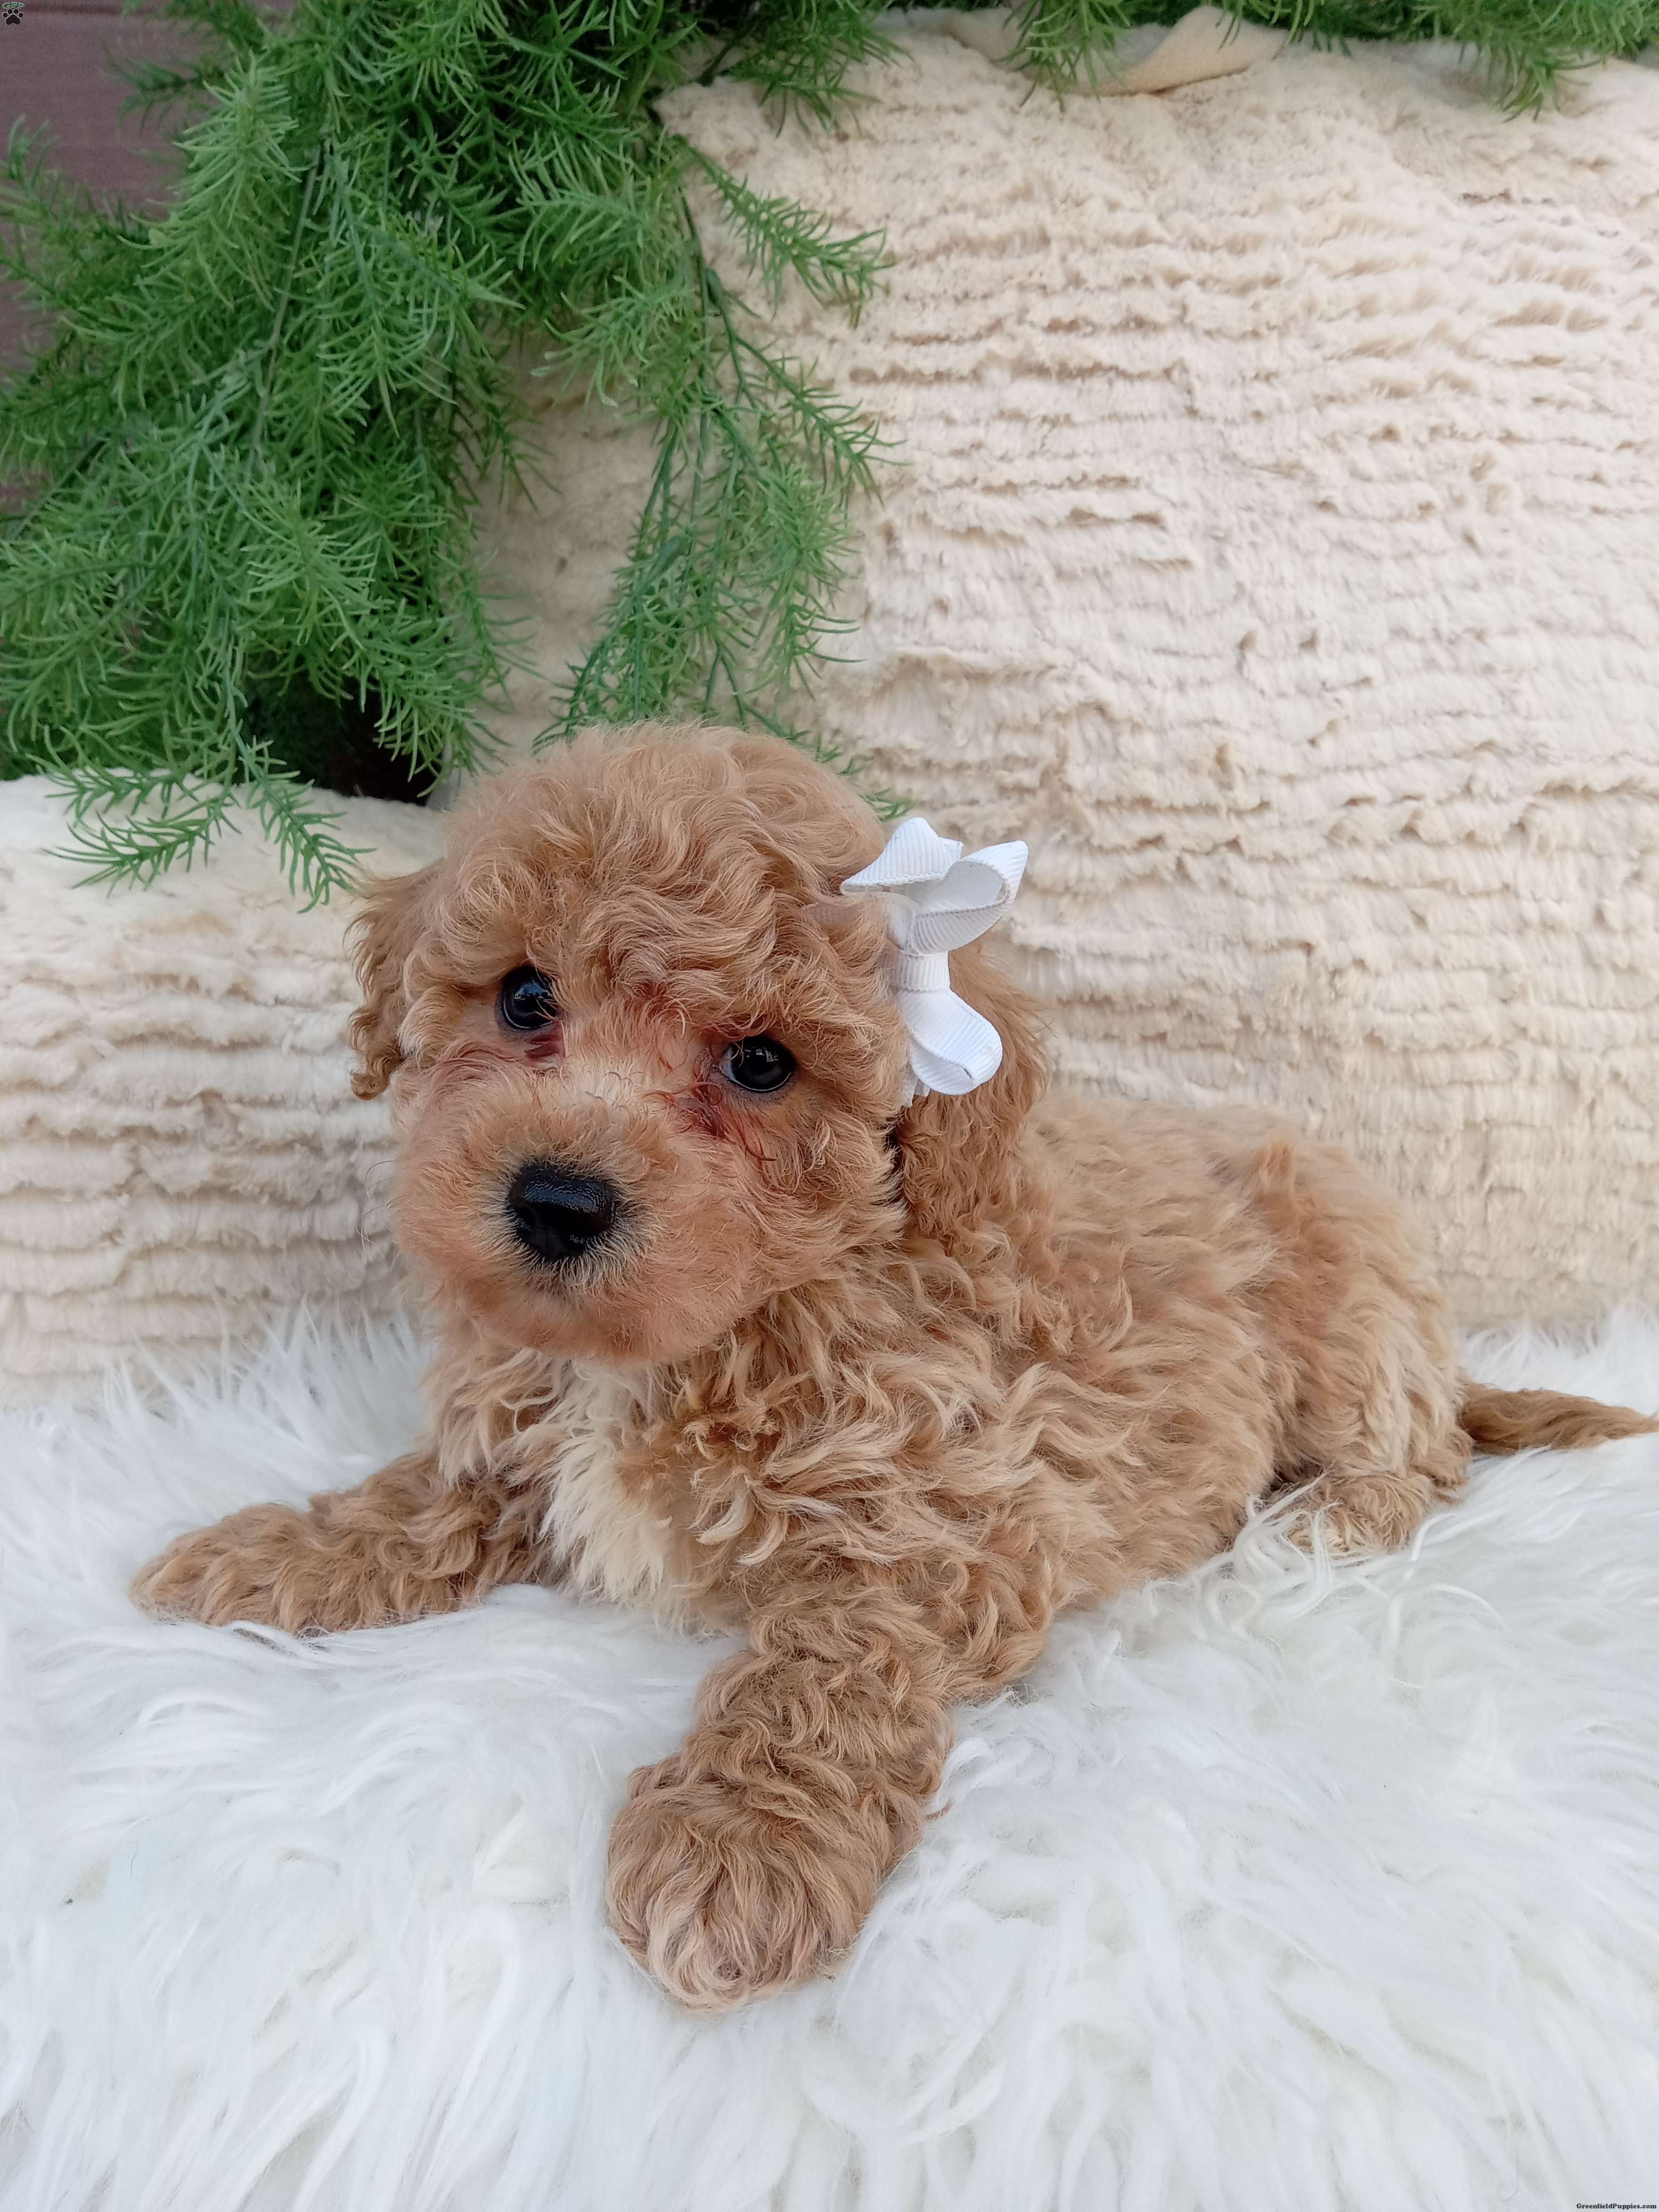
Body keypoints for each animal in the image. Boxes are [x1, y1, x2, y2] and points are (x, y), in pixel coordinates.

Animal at [134, 722, 1656, 2012]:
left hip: (1350, 1290)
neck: (709, 1332)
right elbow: (423, 1498)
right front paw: (273, 1556)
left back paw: (1321, 1522)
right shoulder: (517, 1440)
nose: (556, 1202)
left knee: (1424, 1454)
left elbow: (818, 1679)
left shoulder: (936, 1528)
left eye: (760, 1064)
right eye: (521, 996)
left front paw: (738, 1849)